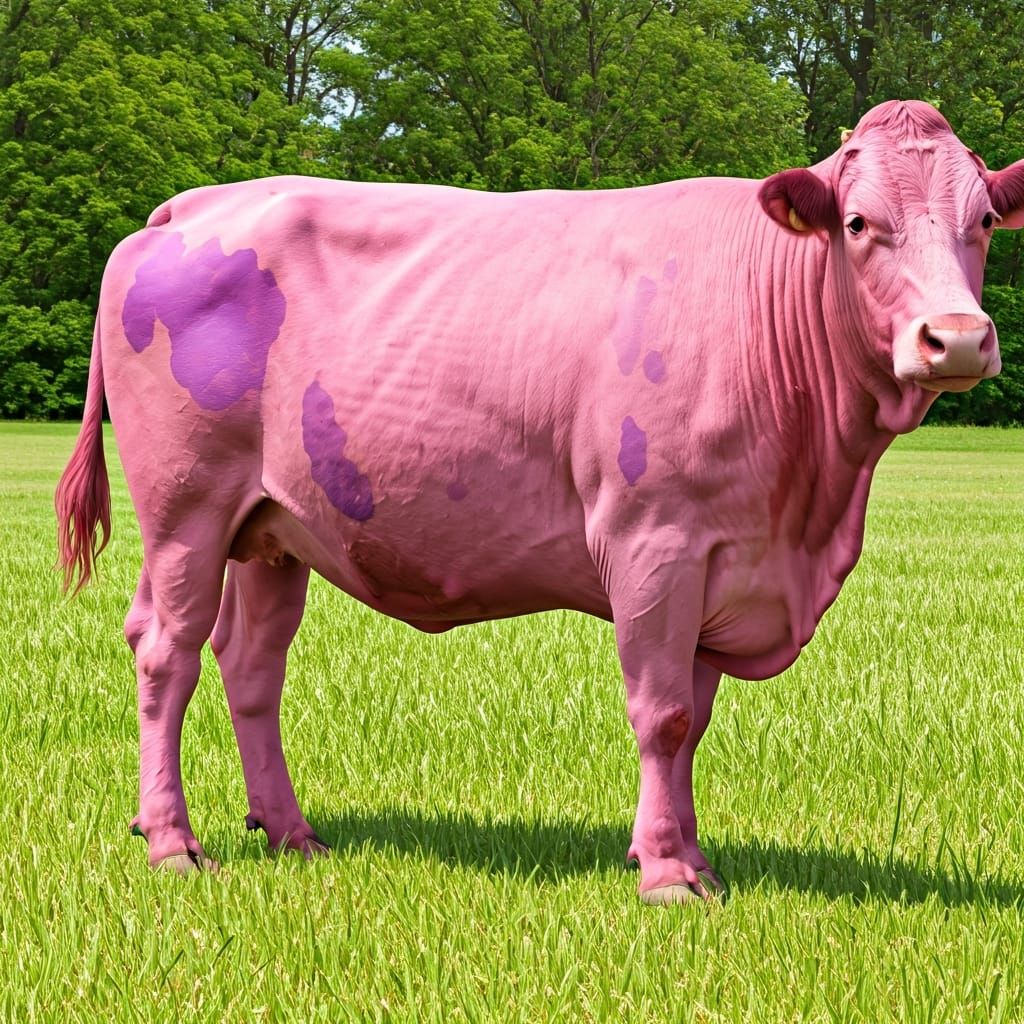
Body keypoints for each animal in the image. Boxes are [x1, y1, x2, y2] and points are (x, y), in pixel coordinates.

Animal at [56, 100, 1024, 904]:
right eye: (859, 224)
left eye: (983, 222)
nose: (957, 339)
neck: (812, 502)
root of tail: (194, 205)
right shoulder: (655, 542)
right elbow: (663, 714)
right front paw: (666, 875)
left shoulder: (728, 560)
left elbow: (695, 719)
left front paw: (693, 858)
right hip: (184, 508)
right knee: (167, 652)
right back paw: (172, 843)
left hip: (275, 527)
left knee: (251, 664)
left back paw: (292, 834)